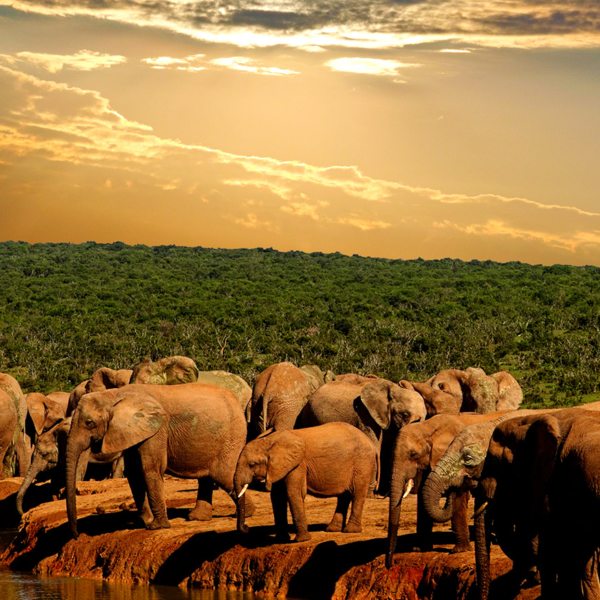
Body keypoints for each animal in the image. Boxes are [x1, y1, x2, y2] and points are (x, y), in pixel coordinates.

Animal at [67, 384, 250, 540]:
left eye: (89, 423)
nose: (76, 535)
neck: (113, 395)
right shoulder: (133, 431)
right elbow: (134, 473)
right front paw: (146, 522)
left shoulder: (156, 430)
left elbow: (150, 469)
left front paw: (156, 526)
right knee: (208, 477)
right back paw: (200, 518)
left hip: (232, 437)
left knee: (223, 475)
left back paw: (246, 515)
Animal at [234, 422, 376, 544]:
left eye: (252, 464)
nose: (247, 527)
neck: (269, 441)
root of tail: (369, 441)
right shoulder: (280, 467)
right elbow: (277, 497)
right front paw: (281, 539)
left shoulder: (298, 465)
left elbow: (293, 493)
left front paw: (302, 540)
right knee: (344, 496)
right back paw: (332, 529)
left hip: (362, 463)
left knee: (357, 493)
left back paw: (350, 531)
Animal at [296, 378, 426, 494]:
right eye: (405, 414)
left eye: (425, 417)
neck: (393, 387)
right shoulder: (364, 414)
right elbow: (373, 445)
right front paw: (370, 492)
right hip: (309, 416)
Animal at [384, 410, 510, 564]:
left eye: (413, 454)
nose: (390, 563)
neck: (427, 427)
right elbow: (423, 497)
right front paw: (419, 549)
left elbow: (459, 496)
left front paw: (459, 551)